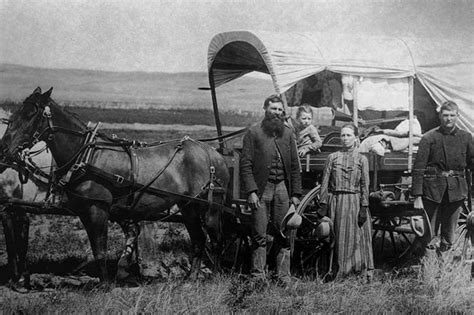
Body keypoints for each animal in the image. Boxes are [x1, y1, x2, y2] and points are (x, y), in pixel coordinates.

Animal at [0, 87, 230, 282]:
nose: (4, 149)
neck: (87, 156)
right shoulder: (85, 211)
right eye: (13, 115)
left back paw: (218, 276)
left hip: (211, 208)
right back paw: (190, 279)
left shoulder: (98, 209)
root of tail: (213, 153)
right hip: (188, 207)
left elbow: (100, 250)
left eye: (30, 114)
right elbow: (97, 248)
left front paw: (105, 286)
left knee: (217, 240)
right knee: (199, 239)